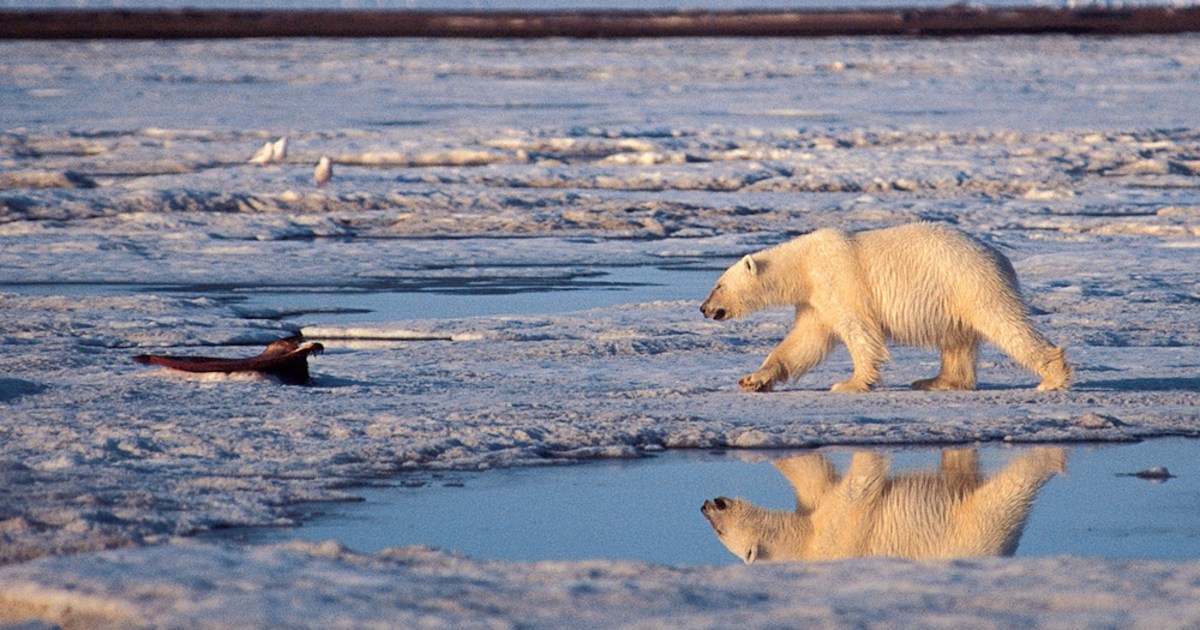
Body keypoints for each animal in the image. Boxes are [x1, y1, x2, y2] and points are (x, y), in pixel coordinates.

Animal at [700, 218, 1075, 391]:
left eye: (717, 285)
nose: (704, 308)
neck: (804, 264)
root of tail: (1000, 257)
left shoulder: (839, 280)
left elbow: (859, 331)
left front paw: (849, 384)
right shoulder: (815, 301)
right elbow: (804, 342)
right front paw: (753, 379)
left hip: (969, 282)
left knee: (1004, 323)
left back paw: (1051, 377)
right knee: (957, 340)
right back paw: (935, 381)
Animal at [700, 444, 1065, 561]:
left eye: (720, 533)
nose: (706, 505)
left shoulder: (840, 533)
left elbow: (854, 492)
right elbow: (812, 479)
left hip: (974, 525)